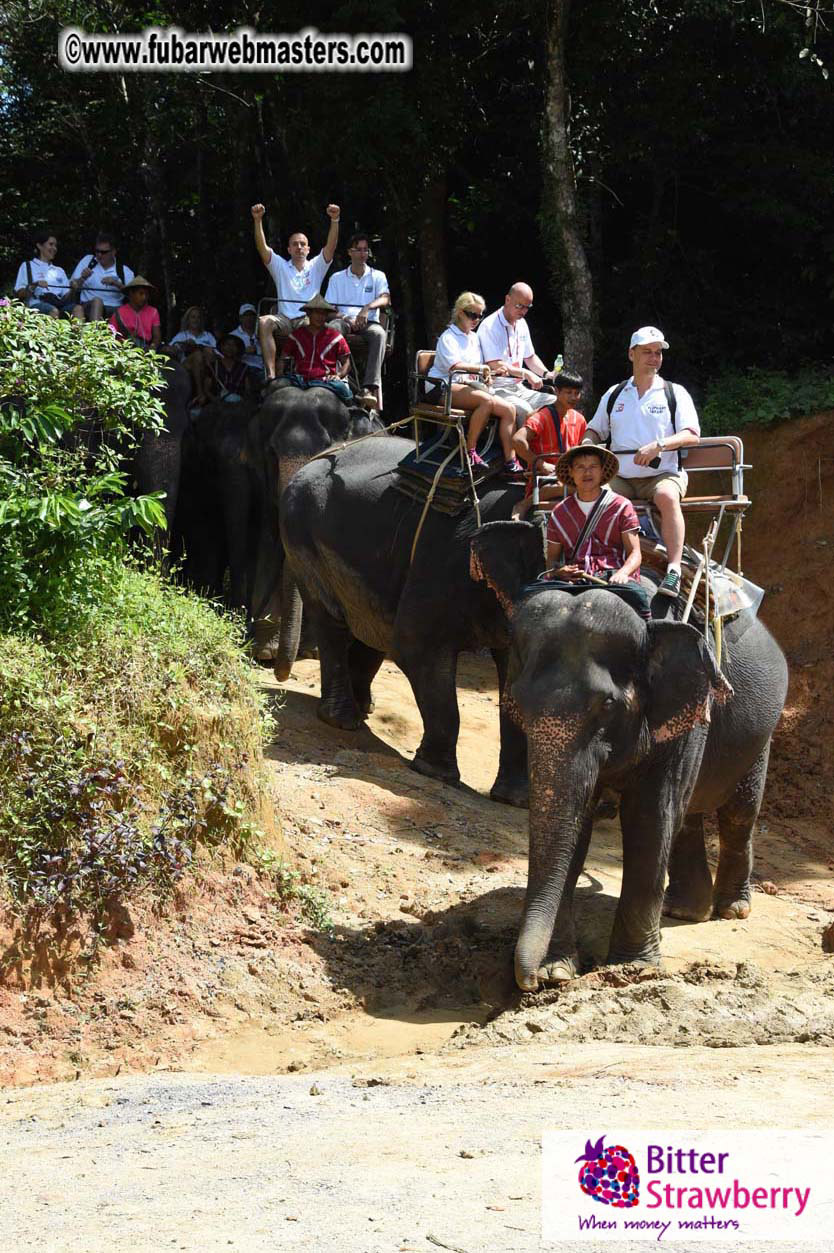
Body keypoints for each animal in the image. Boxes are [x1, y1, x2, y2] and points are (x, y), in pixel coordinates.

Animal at [278, 434, 529, 806]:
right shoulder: (447, 564)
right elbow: (415, 648)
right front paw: (434, 774)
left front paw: (512, 800)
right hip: (303, 535)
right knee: (335, 622)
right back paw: (344, 720)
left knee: (370, 627)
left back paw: (363, 708)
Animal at [469, 520, 789, 991]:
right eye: (518, 705)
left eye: (607, 706)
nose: (527, 982)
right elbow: (579, 821)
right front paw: (558, 970)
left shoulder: (688, 704)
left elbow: (650, 814)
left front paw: (631, 970)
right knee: (688, 815)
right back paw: (684, 910)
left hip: (761, 732)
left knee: (737, 813)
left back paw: (732, 910)